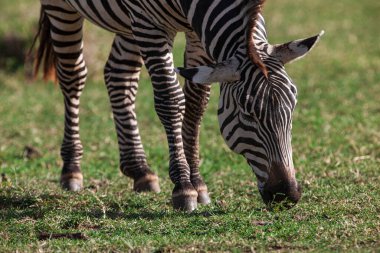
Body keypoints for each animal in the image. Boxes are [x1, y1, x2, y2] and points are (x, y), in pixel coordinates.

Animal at [33, 0, 324, 211]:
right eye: (246, 112)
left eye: (292, 107)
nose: (287, 195)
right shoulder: (150, 24)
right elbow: (170, 100)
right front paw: (184, 186)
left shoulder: (195, 34)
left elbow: (195, 106)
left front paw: (198, 183)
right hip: (63, 8)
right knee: (73, 76)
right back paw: (72, 168)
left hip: (128, 23)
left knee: (119, 75)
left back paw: (139, 169)